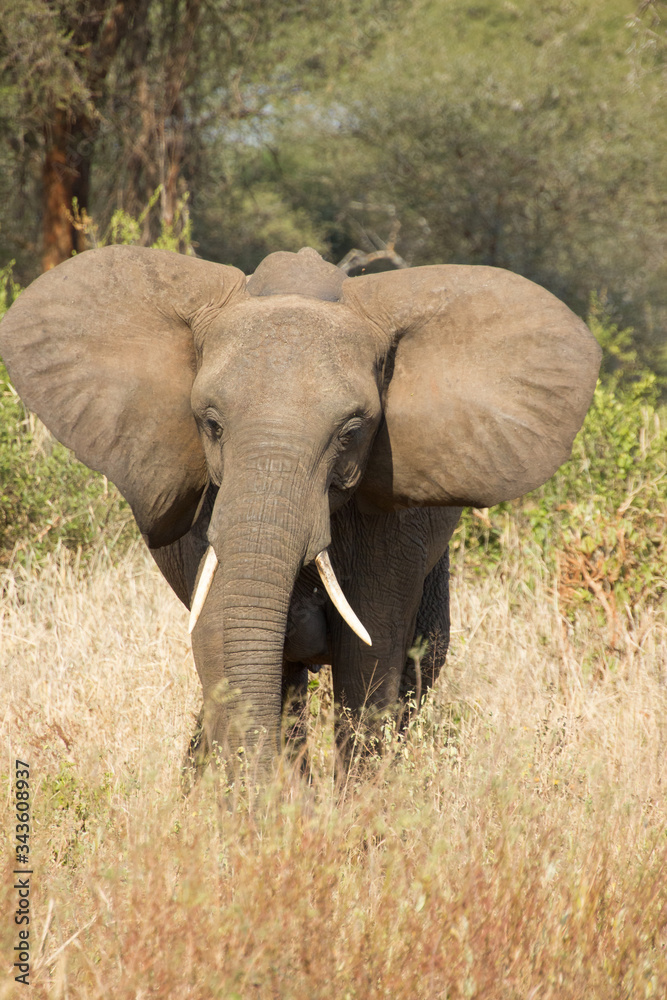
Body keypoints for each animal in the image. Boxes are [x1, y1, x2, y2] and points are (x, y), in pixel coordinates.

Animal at [0, 246, 600, 776]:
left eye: (352, 431)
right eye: (210, 424)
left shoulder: (389, 528)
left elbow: (370, 659)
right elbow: (221, 641)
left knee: (420, 664)